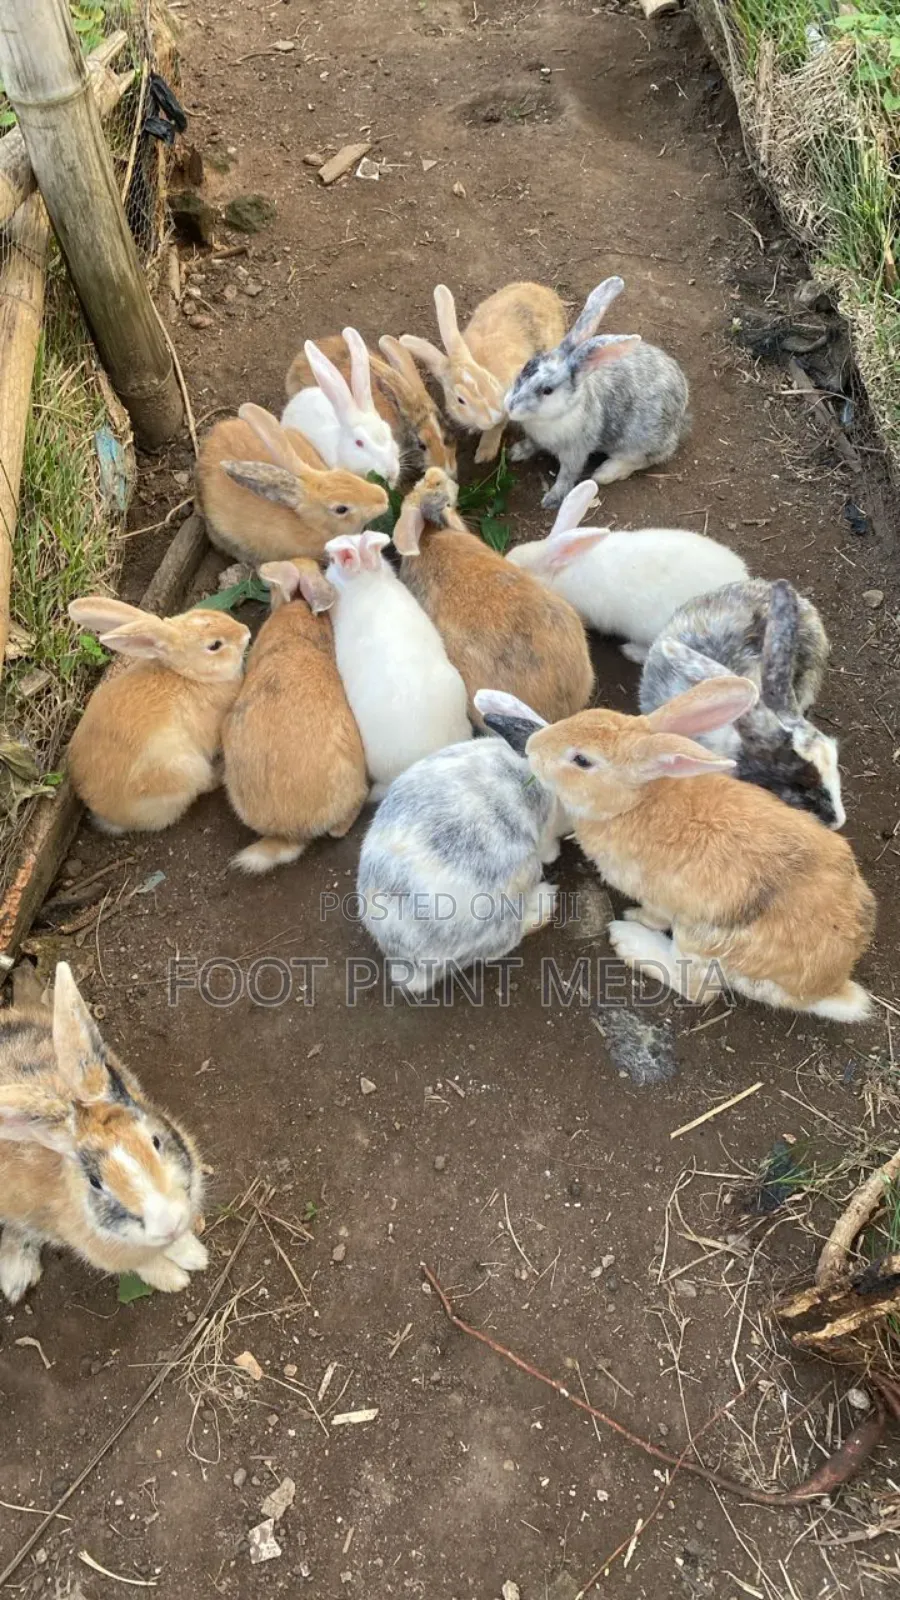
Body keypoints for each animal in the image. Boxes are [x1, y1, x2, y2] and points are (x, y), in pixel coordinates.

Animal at [0, 961, 208, 1303]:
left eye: (155, 1141)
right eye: (95, 1182)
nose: (170, 1222)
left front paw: (195, 1255)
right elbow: (146, 1264)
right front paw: (175, 1279)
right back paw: (16, 1275)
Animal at [399, 281, 566, 463]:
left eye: (487, 379)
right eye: (460, 400)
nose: (494, 414)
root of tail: (545, 291)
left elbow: (497, 428)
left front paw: (485, 454)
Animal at [503, 276, 691, 508]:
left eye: (547, 390)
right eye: (527, 366)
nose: (509, 406)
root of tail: (679, 419)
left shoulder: (575, 452)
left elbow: (567, 476)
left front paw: (552, 500)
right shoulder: (536, 438)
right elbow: (531, 444)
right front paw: (515, 452)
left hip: (637, 442)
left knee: (644, 459)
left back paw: (605, 473)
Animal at [525, 677, 875, 1022]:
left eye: (582, 760)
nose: (531, 746)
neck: (634, 802)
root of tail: (825, 986)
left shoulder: (659, 899)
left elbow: (654, 916)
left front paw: (635, 917)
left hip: (700, 938)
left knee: (696, 988)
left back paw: (628, 940)